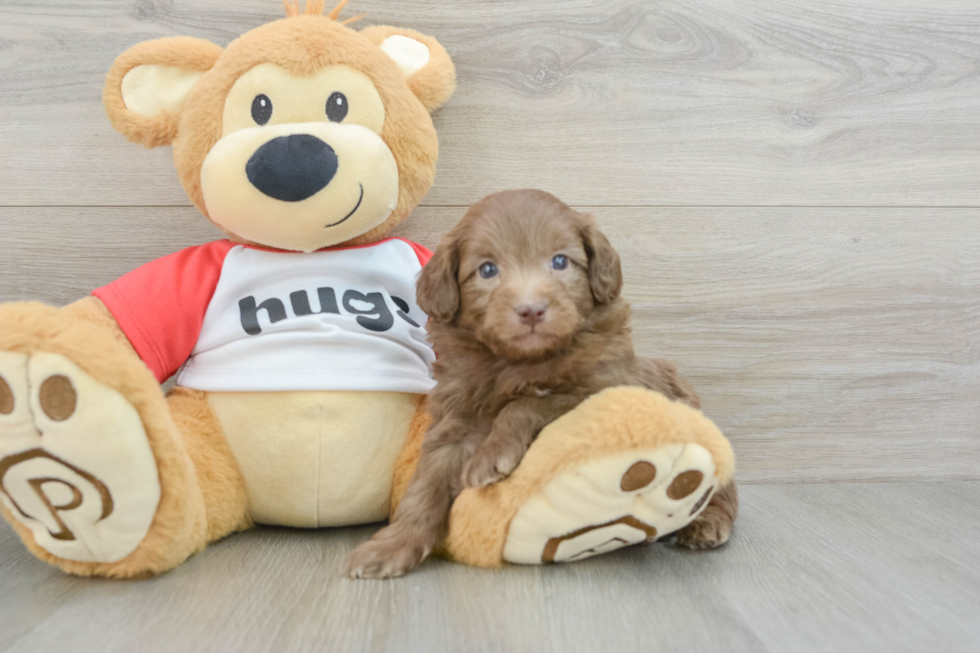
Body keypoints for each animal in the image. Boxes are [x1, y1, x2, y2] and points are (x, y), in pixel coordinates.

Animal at [344, 187, 736, 576]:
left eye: (560, 262)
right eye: (487, 270)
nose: (531, 309)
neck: (519, 361)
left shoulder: (606, 388)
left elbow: (527, 402)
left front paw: (492, 457)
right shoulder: (454, 419)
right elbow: (425, 485)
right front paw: (392, 546)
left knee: (721, 488)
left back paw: (707, 523)